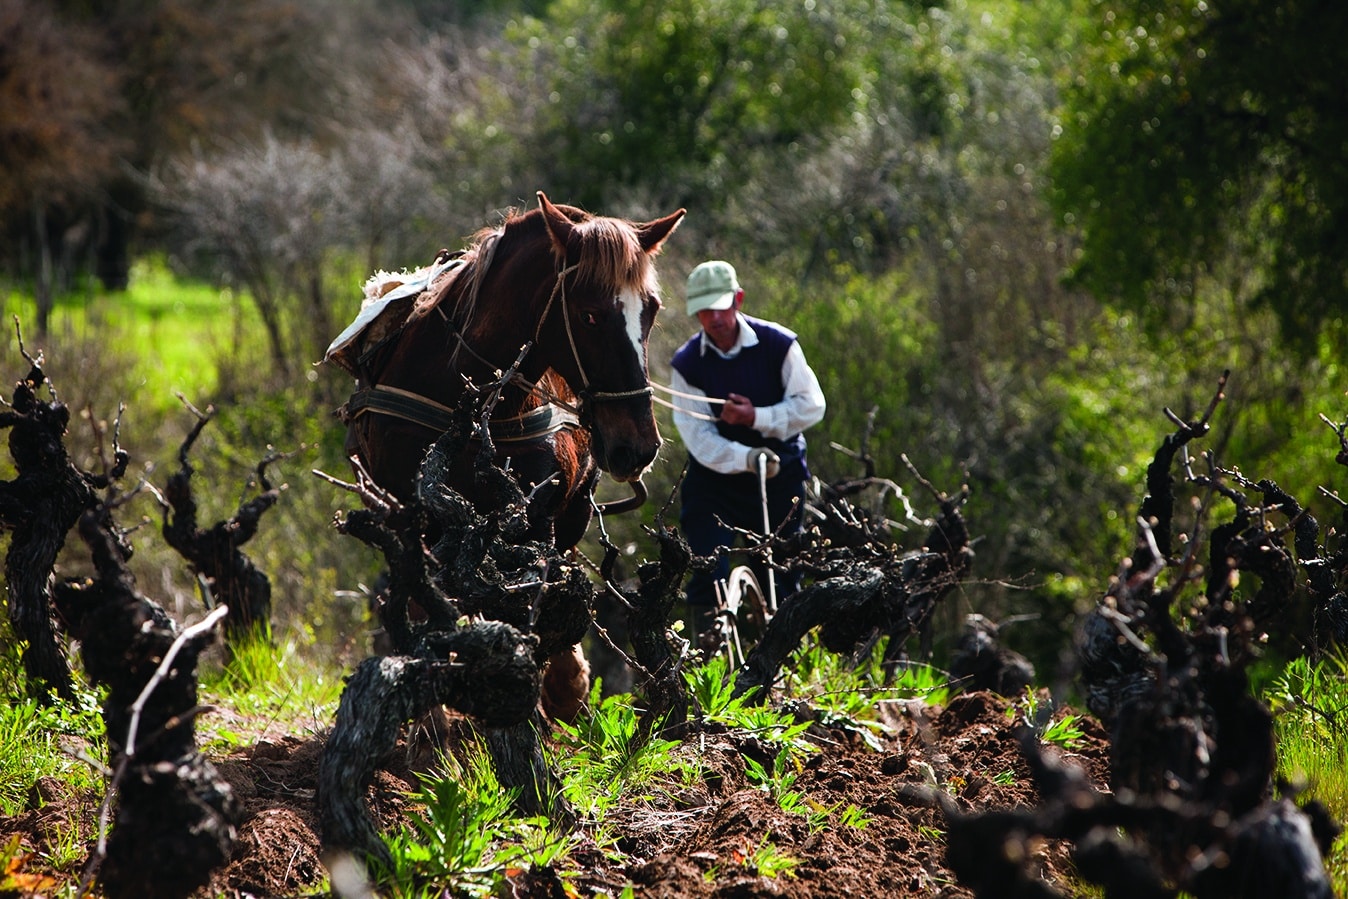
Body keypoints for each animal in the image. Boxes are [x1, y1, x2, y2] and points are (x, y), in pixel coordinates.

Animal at [327, 191, 684, 717]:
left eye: (652, 309)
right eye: (589, 314)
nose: (636, 445)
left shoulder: (539, 516)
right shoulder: (412, 519)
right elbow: (424, 601)